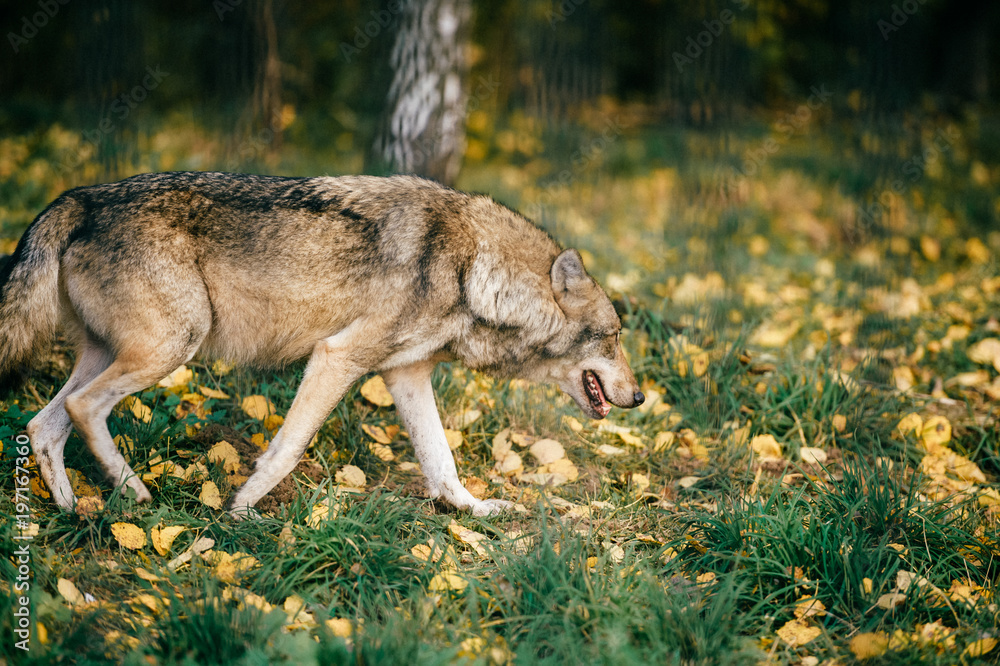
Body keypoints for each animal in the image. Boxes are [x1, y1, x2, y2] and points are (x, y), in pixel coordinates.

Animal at [0, 172, 644, 517]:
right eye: (613, 339)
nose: (639, 398)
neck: (473, 269)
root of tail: (80, 196)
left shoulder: (406, 375)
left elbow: (442, 464)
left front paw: (474, 512)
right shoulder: (338, 357)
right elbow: (287, 449)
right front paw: (242, 509)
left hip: (112, 356)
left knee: (42, 425)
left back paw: (72, 510)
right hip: (171, 348)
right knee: (80, 409)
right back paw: (134, 493)